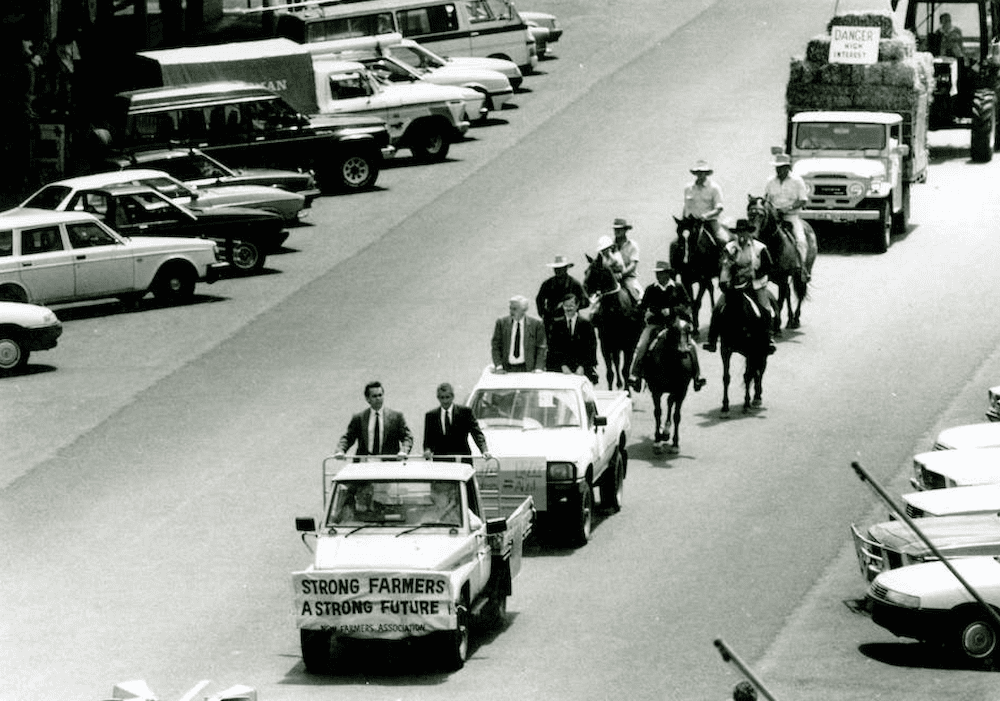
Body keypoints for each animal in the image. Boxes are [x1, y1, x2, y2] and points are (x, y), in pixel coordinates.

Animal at [584, 254, 644, 392]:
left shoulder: (629, 345)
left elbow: (625, 370)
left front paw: (628, 392)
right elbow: (610, 373)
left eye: (595, 272)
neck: (615, 310)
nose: (584, 287)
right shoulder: (605, 345)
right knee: (616, 362)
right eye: (585, 271)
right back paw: (619, 383)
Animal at [640, 318, 696, 454]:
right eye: (673, 330)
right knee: (668, 403)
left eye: (688, 330)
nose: (683, 351)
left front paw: (675, 444)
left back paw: (666, 431)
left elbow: (677, 416)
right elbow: (657, 412)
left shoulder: (681, 391)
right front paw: (657, 442)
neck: (671, 364)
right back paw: (663, 432)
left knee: (670, 402)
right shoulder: (655, 390)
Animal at [716, 284, 768, 412]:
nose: (722, 284)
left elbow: (748, 376)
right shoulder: (725, 350)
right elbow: (726, 377)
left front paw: (747, 403)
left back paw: (757, 397)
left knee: (760, 370)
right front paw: (725, 406)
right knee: (757, 371)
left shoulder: (751, 351)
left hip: (761, 352)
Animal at [748, 194, 816, 330]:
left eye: (761, 215)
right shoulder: (764, 279)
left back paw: (795, 319)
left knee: (800, 292)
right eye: (749, 213)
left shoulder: (782, 278)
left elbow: (779, 303)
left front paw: (776, 326)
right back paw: (789, 319)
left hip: (802, 273)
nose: (753, 235)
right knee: (788, 294)